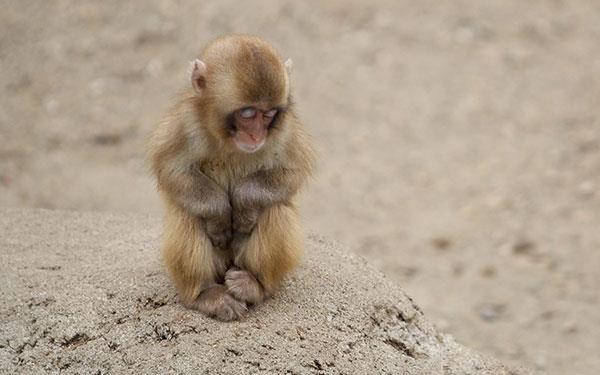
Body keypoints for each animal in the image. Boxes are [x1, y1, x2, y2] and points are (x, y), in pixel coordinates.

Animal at [146, 35, 314, 322]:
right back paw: (204, 295)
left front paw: (243, 204)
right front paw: (219, 214)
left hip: (239, 258)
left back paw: (255, 285)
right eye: (247, 113)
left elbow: (291, 172)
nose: (256, 135)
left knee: (276, 210)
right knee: (187, 214)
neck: (227, 140)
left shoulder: (285, 130)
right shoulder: (185, 123)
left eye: (268, 114)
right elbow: (172, 169)